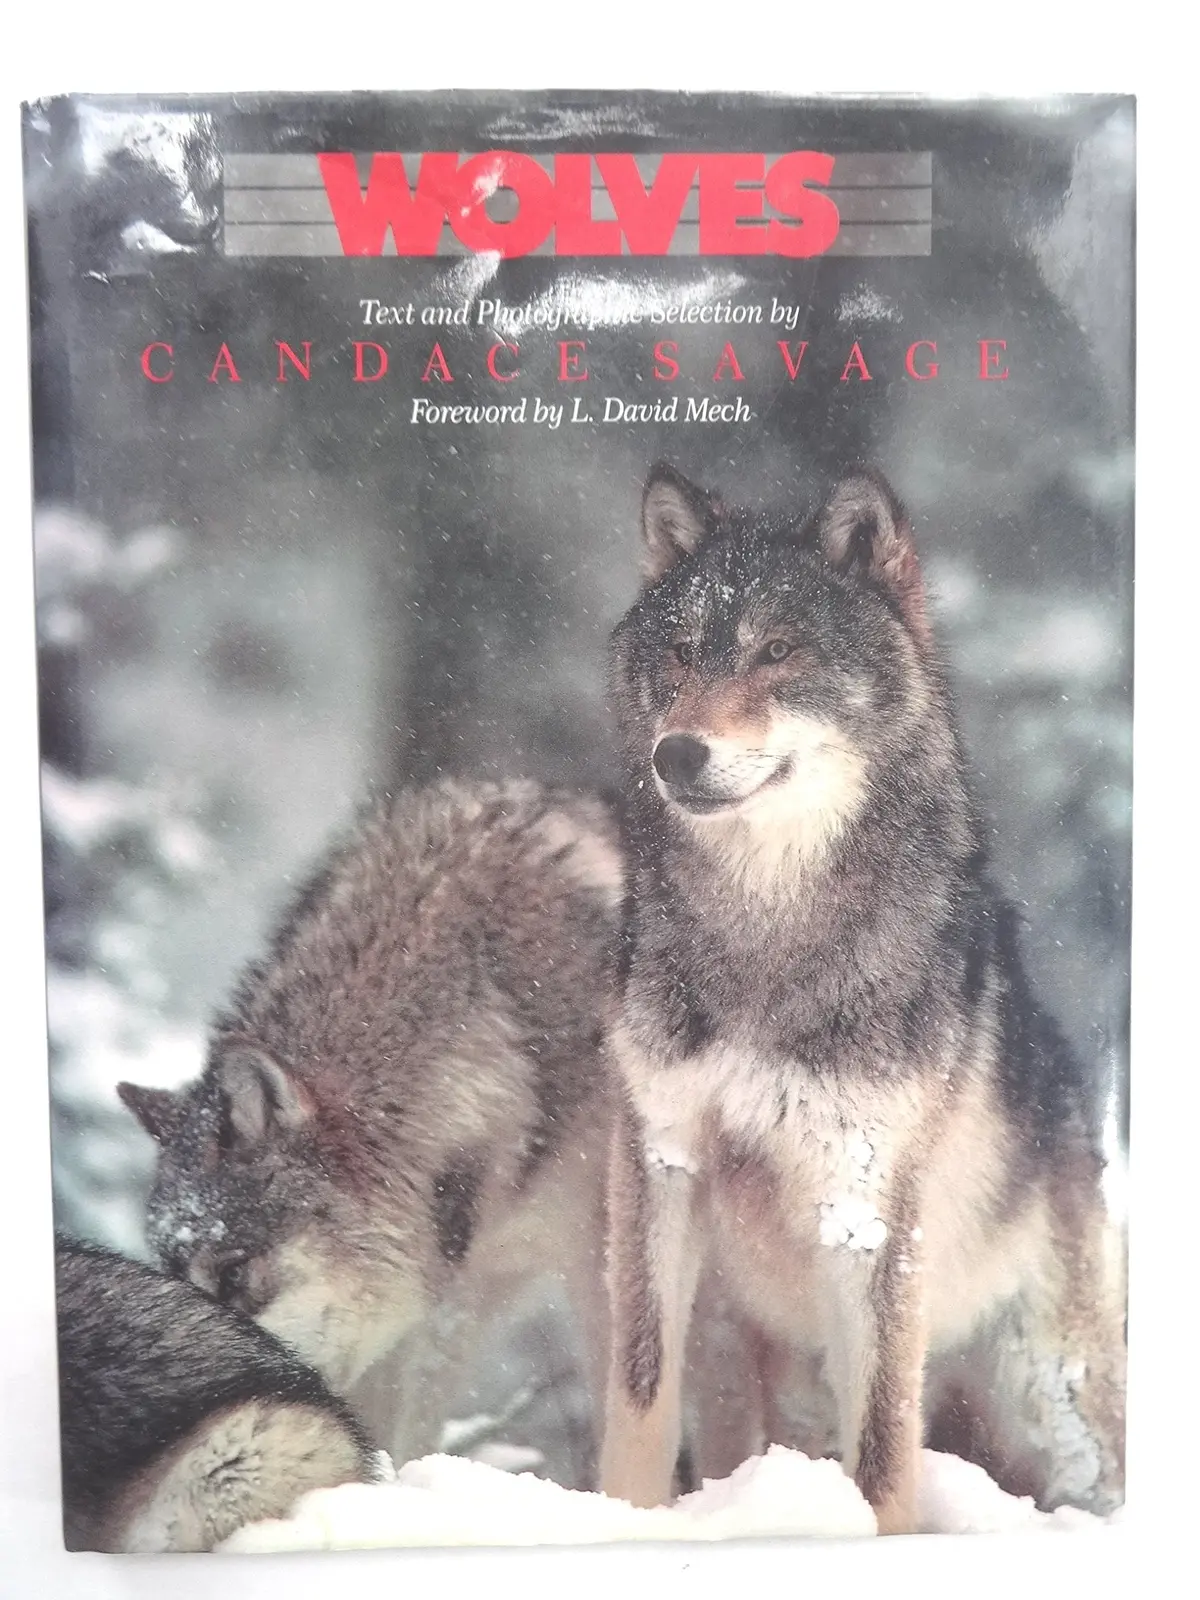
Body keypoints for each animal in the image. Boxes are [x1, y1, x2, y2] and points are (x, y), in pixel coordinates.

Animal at [599, 463, 1126, 1533]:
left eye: (779, 651)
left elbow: (883, 1442)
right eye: (681, 653)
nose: (677, 753)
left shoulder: (865, 1202)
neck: (765, 939)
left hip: (1053, 1393)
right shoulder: (659, 1154)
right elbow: (638, 1389)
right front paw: (614, 1528)